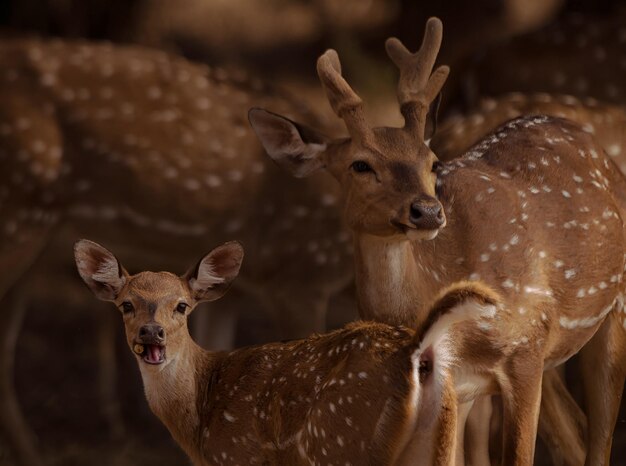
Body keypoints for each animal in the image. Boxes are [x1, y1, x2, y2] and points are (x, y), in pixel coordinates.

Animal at [249, 17, 624, 466]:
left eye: (431, 162)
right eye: (361, 165)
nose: (427, 211)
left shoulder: (526, 350)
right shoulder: (453, 386)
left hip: (610, 312)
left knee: (597, 439)